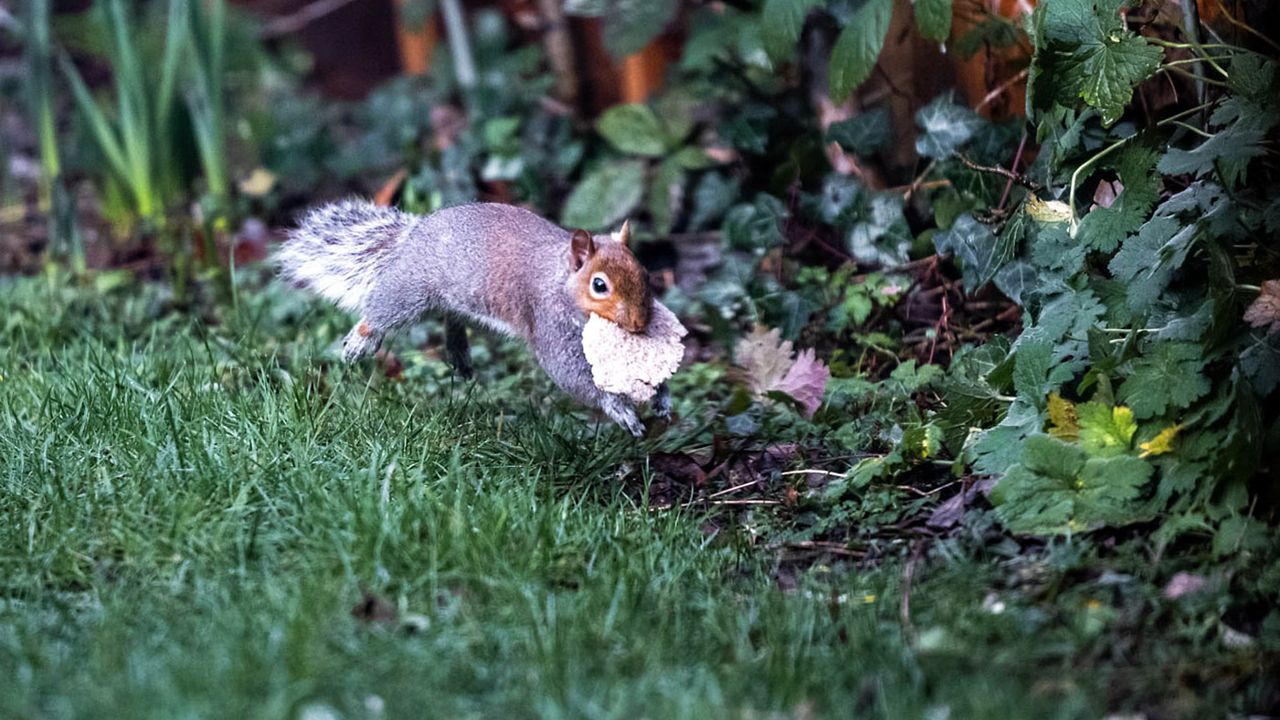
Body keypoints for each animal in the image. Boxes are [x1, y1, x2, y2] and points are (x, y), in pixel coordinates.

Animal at [273, 198, 665, 435]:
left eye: (645, 274)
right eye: (599, 285)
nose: (639, 324)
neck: (560, 277)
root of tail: (414, 233)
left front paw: (660, 396)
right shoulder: (549, 322)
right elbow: (572, 373)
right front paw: (619, 407)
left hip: (470, 303)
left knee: (451, 318)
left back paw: (459, 352)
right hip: (411, 289)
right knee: (384, 309)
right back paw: (362, 339)